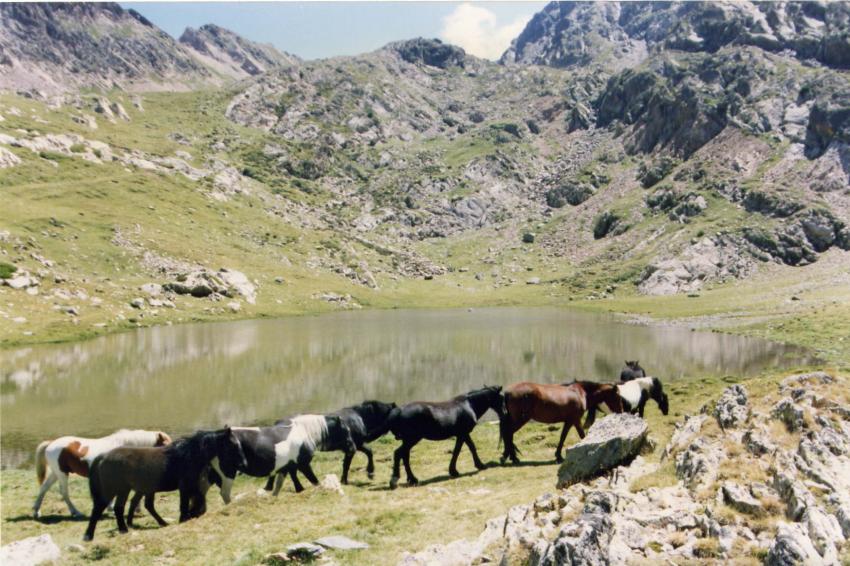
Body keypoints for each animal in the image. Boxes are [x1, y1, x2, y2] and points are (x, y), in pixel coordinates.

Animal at [33, 429, 172, 518]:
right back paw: (75, 512)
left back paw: (36, 511)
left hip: (56, 473)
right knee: (64, 492)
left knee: (44, 488)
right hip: (61, 474)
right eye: (165, 444)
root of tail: (50, 443)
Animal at [83, 427, 246, 541]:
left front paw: (192, 515)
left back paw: (128, 528)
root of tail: (103, 456)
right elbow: (184, 505)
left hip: (126, 490)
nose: (243, 464)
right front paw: (184, 519)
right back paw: (89, 536)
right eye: (232, 444)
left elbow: (198, 502)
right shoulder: (185, 486)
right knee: (100, 509)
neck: (188, 454)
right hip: (115, 490)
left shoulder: (193, 485)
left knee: (121, 507)